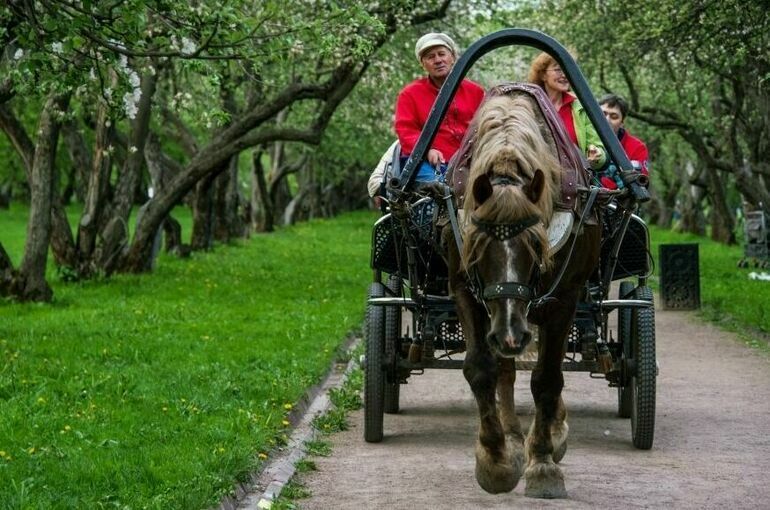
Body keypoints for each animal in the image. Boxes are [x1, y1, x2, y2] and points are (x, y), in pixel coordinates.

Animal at [444, 87, 600, 498]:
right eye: (480, 246)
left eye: (535, 244)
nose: (511, 335)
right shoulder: (464, 287)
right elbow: (482, 369)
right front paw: (496, 461)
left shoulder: (563, 299)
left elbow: (547, 379)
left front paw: (542, 464)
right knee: (506, 369)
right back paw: (513, 435)